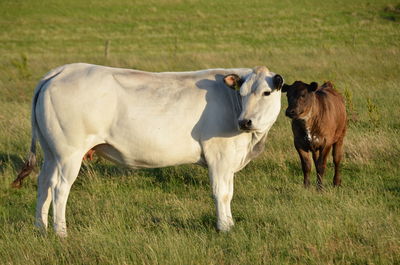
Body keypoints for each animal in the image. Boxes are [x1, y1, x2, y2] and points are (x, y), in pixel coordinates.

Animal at [14, 63, 282, 235]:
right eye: (243, 93)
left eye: (266, 92)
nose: (244, 122)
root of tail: (61, 70)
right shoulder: (220, 156)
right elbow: (222, 193)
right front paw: (225, 228)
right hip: (69, 153)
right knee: (60, 188)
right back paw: (61, 233)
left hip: (51, 153)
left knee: (44, 184)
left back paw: (41, 228)